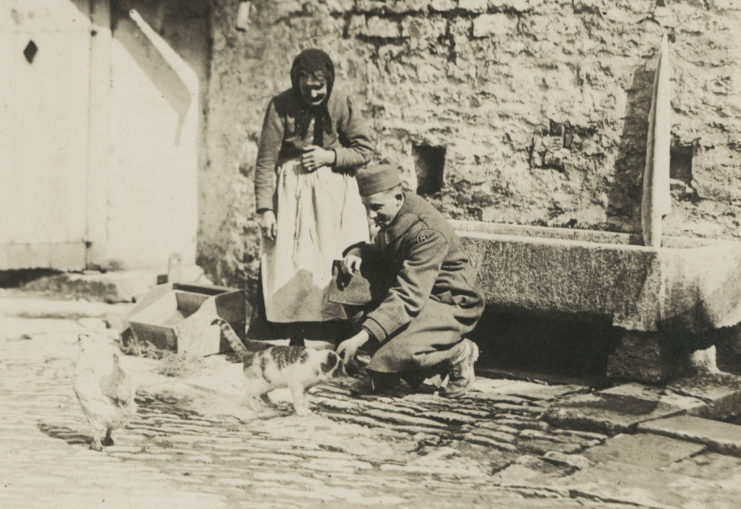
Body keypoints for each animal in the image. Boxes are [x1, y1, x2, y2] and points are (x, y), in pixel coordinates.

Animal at [210, 320, 346, 414]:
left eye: (340, 371)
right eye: (336, 371)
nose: (344, 377)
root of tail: (250, 355)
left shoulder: (306, 388)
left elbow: (305, 399)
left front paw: (305, 409)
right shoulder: (296, 385)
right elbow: (298, 400)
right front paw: (301, 411)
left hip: (270, 384)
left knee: (263, 395)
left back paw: (274, 405)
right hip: (262, 383)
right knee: (249, 393)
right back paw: (257, 408)